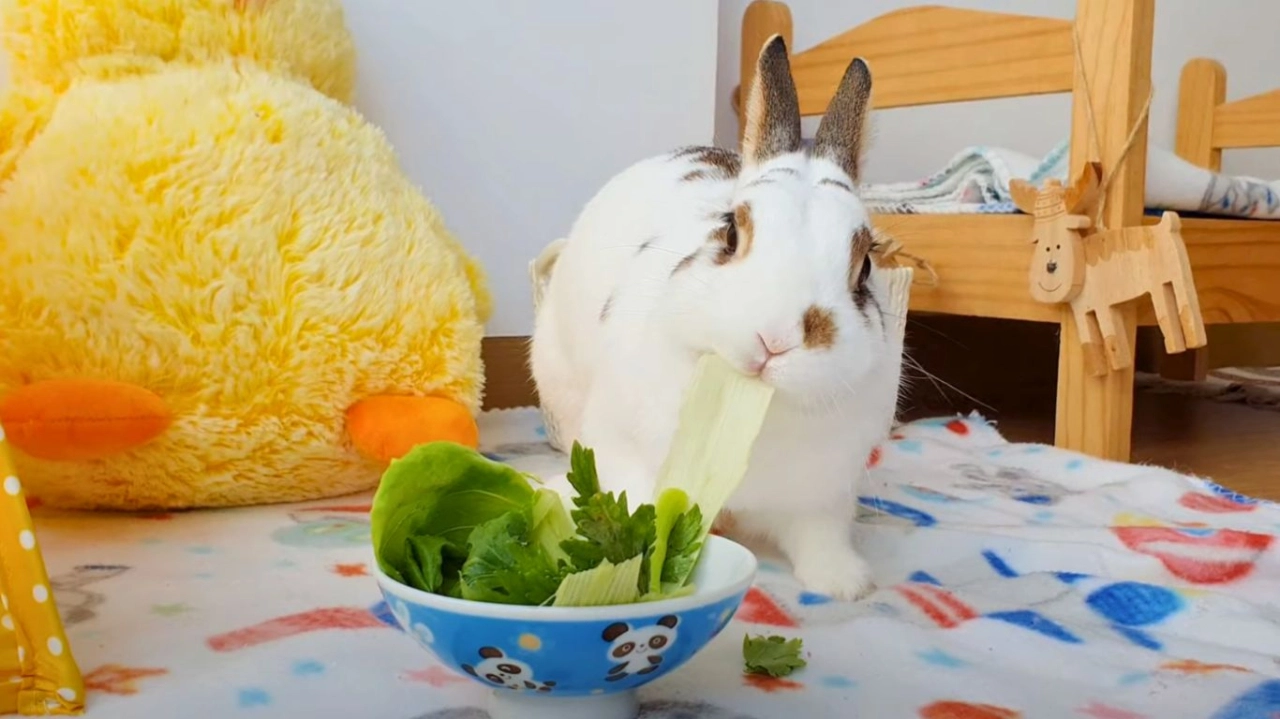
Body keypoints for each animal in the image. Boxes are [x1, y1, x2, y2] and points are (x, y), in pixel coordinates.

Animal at [529, 36, 903, 601]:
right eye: (730, 232)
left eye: (864, 267)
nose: (775, 338)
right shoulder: (626, 451)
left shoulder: (823, 497)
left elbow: (820, 536)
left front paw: (844, 583)